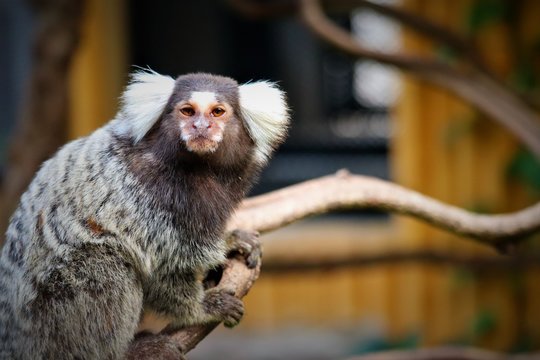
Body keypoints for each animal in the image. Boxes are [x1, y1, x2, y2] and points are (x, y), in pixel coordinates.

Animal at [0, 69, 288, 358]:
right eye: (187, 111)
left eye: (217, 112)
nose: (201, 127)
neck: (197, 169)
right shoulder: (146, 197)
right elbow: (164, 265)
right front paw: (201, 308)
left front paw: (230, 241)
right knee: (104, 264)